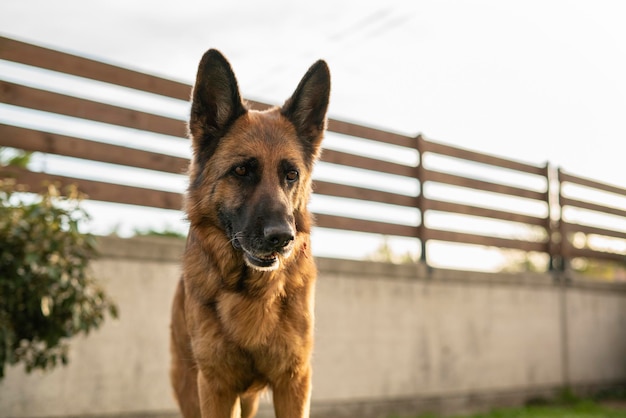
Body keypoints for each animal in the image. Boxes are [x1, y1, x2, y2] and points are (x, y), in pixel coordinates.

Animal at [168, 46, 330, 418]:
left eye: (291, 175)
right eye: (241, 170)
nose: (282, 238)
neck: (251, 291)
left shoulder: (293, 383)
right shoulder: (215, 388)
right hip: (189, 388)